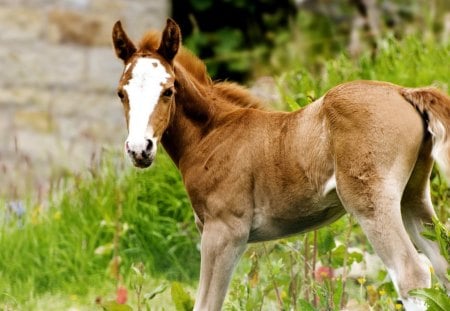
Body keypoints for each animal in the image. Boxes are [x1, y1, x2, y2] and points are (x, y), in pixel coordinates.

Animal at [113, 18, 450, 310]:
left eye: (168, 90)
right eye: (121, 93)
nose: (139, 149)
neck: (212, 133)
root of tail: (403, 92)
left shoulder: (224, 232)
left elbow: (207, 303)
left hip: (371, 203)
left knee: (413, 274)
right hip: (412, 198)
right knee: (441, 264)